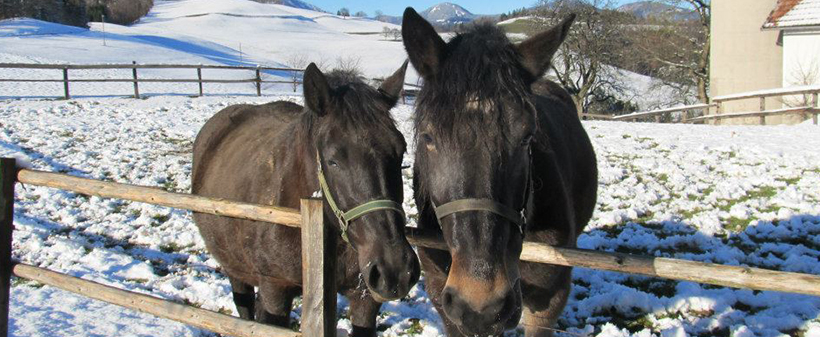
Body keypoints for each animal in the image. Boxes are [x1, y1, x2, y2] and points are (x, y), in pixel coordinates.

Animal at [191, 61, 422, 334]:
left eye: (401, 150)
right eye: (333, 160)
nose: (395, 269)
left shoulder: (364, 298)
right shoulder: (275, 290)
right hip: (235, 268)